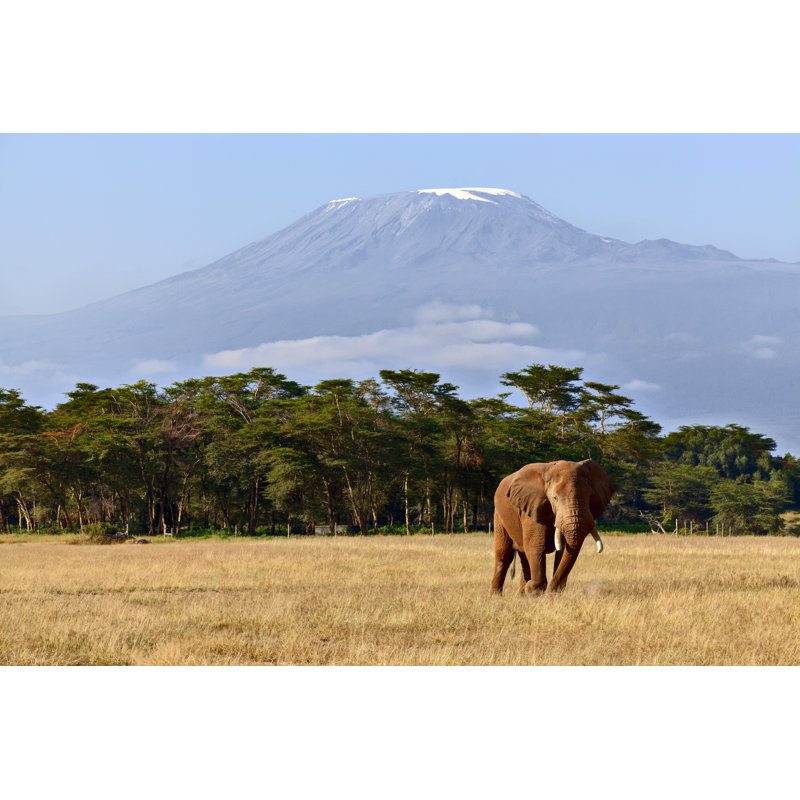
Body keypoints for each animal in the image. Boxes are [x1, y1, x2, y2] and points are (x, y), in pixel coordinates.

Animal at [490, 459, 614, 595]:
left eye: (589, 496)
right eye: (555, 498)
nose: (551, 591)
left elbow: (563, 550)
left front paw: (545, 592)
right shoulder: (532, 506)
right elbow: (536, 546)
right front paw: (533, 589)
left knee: (524, 557)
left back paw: (522, 594)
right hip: (499, 516)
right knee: (504, 555)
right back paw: (497, 596)